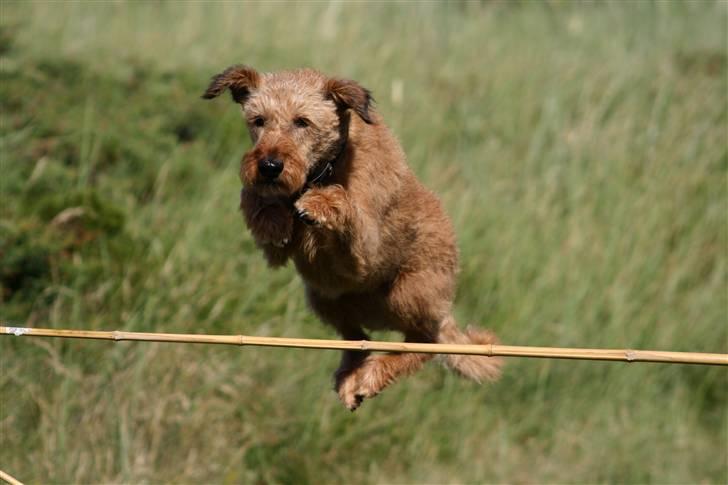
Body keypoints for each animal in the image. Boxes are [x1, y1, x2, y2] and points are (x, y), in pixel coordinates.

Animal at [202, 66, 504, 410]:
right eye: (258, 120)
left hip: (406, 294)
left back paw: (372, 377)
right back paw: (351, 377)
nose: (269, 166)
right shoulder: (276, 248)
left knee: (424, 344)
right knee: (359, 339)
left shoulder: (365, 253)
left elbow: (345, 205)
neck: (324, 169)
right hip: (322, 297)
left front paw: (319, 203)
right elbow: (252, 198)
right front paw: (273, 219)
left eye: (302, 121)